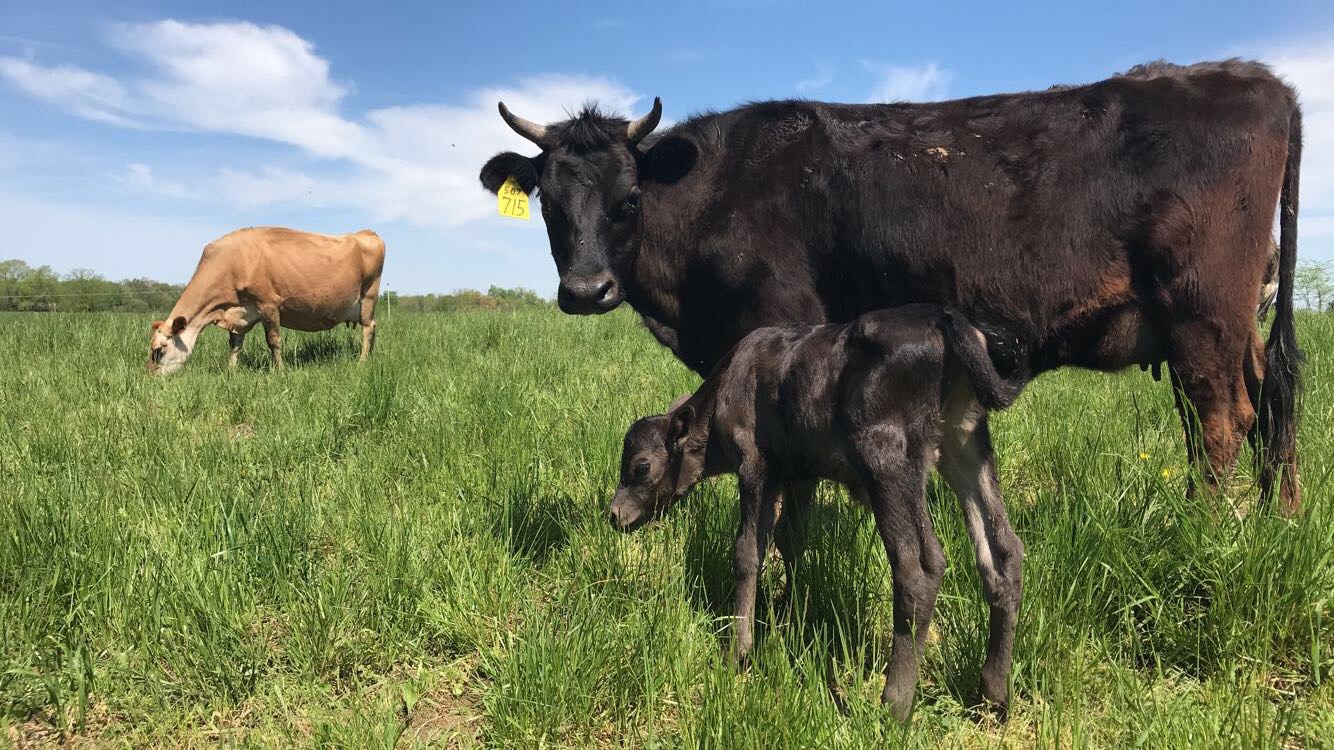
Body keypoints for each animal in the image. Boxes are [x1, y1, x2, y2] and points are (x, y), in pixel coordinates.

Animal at [146, 222, 386, 370]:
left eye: (159, 350)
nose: (151, 375)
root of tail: (366, 233)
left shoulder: (268, 304)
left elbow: (274, 341)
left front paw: (279, 371)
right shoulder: (241, 312)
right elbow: (235, 344)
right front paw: (231, 371)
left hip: (368, 295)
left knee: (368, 328)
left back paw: (362, 361)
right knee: (373, 327)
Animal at [482, 58, 1301, 512]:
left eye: (628, 201)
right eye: (548, 204)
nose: (586, 289)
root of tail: (1260, 81)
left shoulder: (782, 327)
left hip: (1201, 311)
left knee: (1223, 420)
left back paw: (1201, 529)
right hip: (1232, 322)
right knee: (1271, 397)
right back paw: (1278, 519)